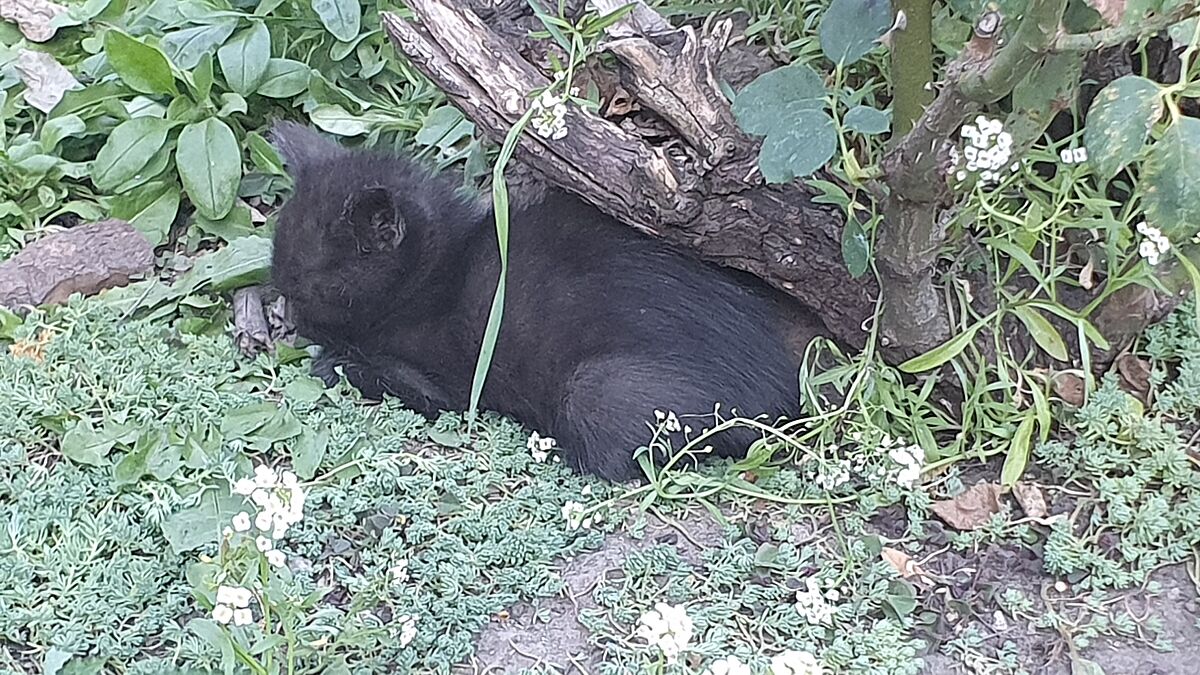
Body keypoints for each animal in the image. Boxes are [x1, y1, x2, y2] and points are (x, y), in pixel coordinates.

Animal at [268, 122, 826, 481]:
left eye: (310, 287)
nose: (292, 319)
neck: (441, 268)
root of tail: (784, 401)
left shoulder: (442, 384)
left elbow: (367, 370)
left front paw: (330, 359)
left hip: (596, 386)